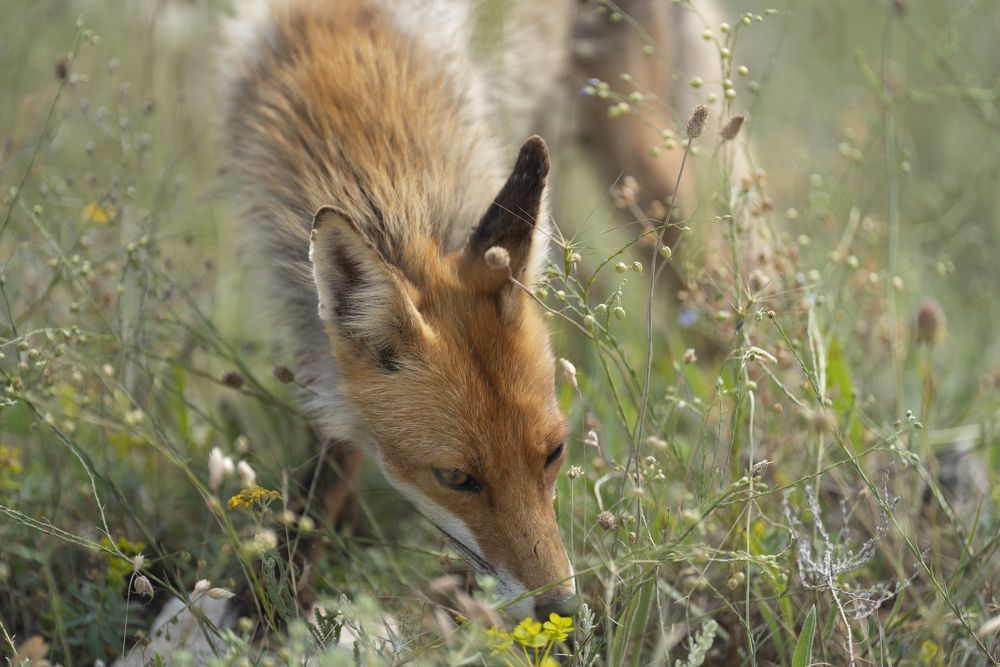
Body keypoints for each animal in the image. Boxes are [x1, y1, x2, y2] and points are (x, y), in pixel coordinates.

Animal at [218, 0, 743, 624]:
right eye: (456, 478)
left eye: (553, 453)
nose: (562, 609)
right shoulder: (311, 330)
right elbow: (330, 453)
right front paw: (279, 588)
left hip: (640, 160)